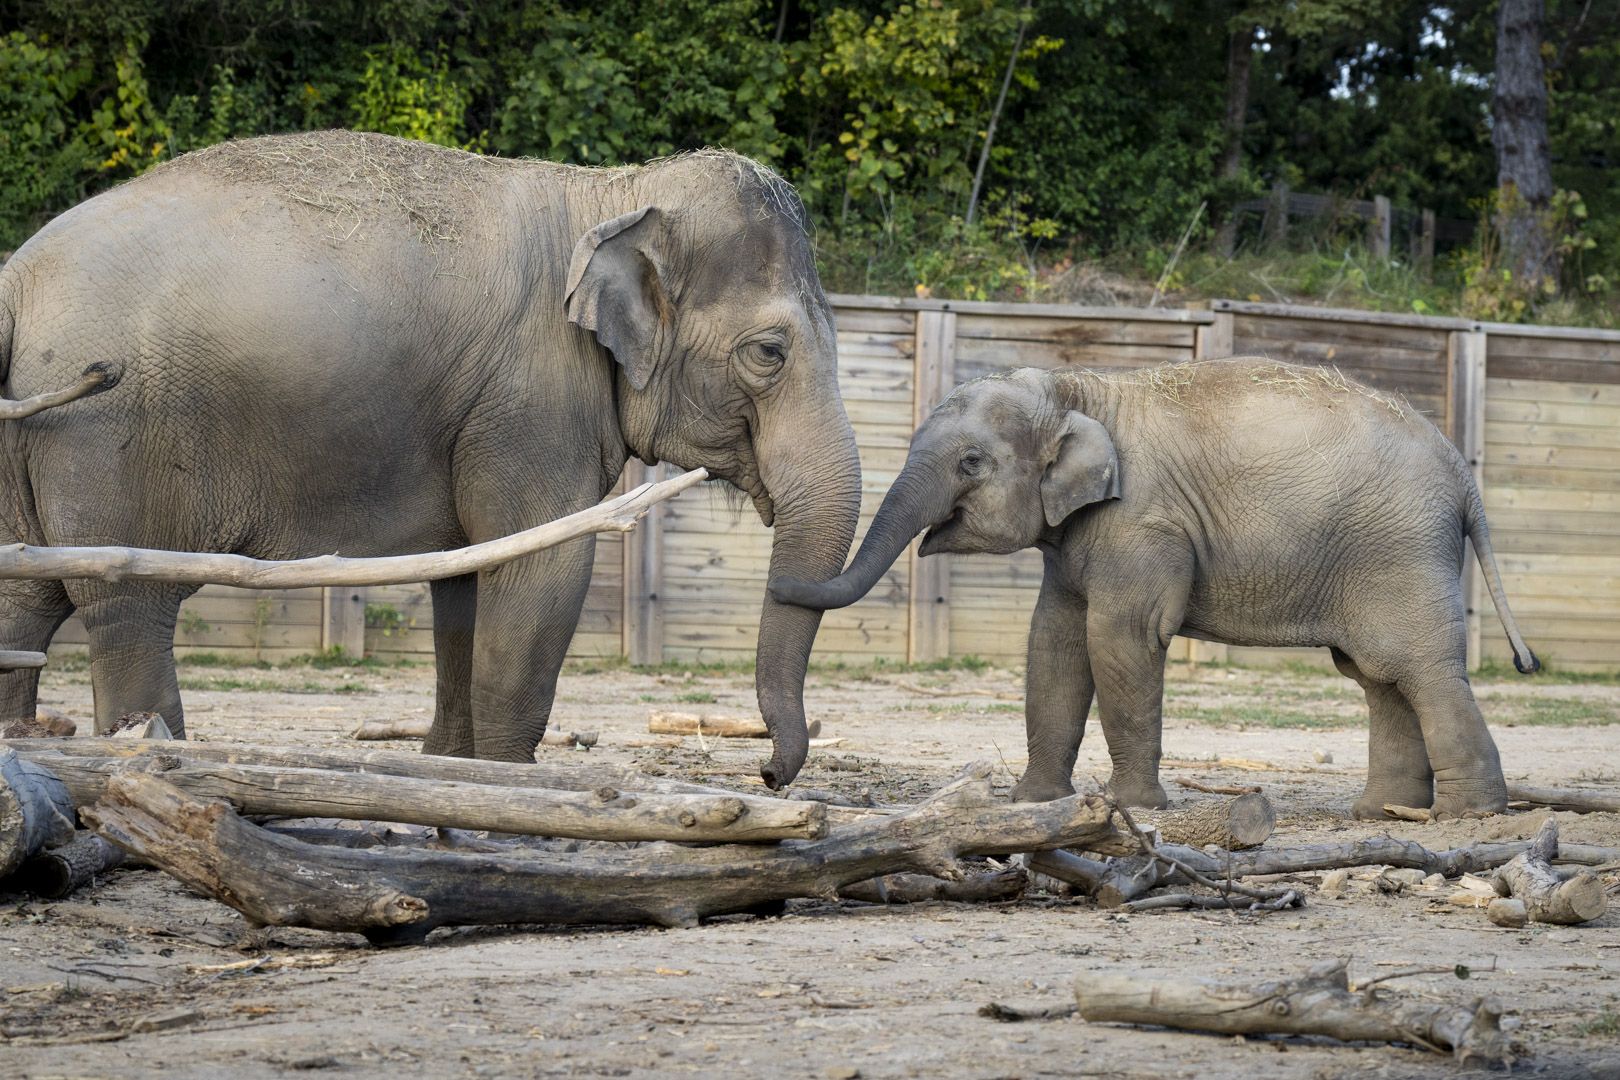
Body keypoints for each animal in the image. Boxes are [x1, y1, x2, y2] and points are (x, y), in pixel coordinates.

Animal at [0, 130, 860, 789]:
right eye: (769, 352)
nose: (767, 773)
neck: (612, 194)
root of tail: (15, 280)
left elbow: (466, 585)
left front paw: (450, 768)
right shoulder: (531, 402)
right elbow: (539, 575)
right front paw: (510, 782)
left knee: (25, 603)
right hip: (111, 441)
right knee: (127, 607)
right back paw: (162, 763)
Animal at [772, 360, 1539, 819]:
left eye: (971, 463)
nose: (778, 578)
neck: (1076, 393)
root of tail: (1462, 472)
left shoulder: (1139, 522)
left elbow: (1121, 639)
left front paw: (1136, 809)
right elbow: (1053, 642)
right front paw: (1033, 805)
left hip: (1400, 549)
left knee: (1420, 667)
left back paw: (1467, 816)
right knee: (1379, 675)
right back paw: (1380, 814)